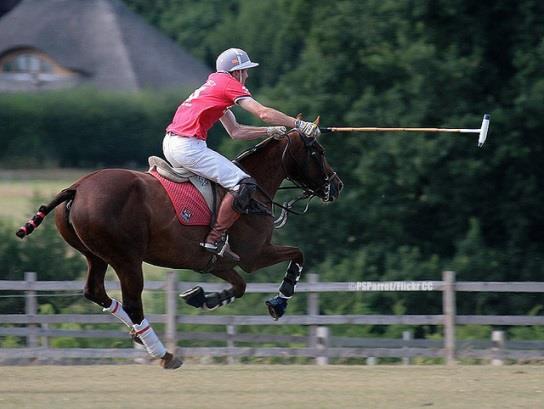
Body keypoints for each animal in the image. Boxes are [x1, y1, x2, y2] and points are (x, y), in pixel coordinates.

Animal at [17, 129, 342, 368]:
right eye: (318, 152)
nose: (336, 185)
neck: (258, 190)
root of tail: (76, 188)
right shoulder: (255, 254)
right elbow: (297, 254)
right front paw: (279, 302)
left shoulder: (218, 262)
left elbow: (239, 287)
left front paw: (202, 297)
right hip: (127, 258)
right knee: (133, 302)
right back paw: (163, 353)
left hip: (95, 255)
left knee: (95, 291)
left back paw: (139, 336)